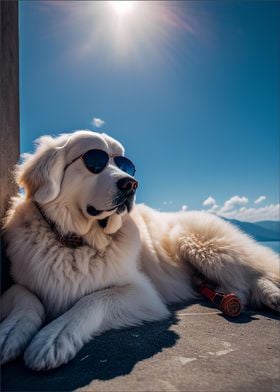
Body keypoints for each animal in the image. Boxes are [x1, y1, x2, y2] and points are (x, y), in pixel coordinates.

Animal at [0, 132, 280, 370]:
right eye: (94, 160)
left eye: (126, 166)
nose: (131, 184)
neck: (76, 241)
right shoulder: (20, 282)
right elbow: (26, 299)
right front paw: (10, 332)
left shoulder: (143, 293)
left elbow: (93, 300)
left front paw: (54, 337)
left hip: (200, 244)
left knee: (251, 277)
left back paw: (271, 295)